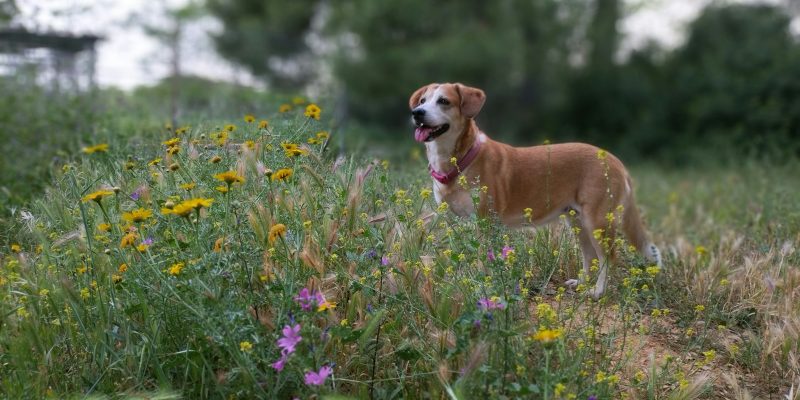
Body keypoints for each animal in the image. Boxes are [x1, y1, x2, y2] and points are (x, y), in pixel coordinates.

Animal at [410, 83, 660, 298]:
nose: (417, 113)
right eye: (423, 100)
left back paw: (598, 292)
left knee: (609, 257)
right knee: (589, 255)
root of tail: (615, 160)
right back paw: (581, 283)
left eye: (444, 101)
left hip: (597, 221)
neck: (461, 159)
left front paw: (483, 286)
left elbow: (483, 260)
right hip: (577, 221)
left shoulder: (484, 221)